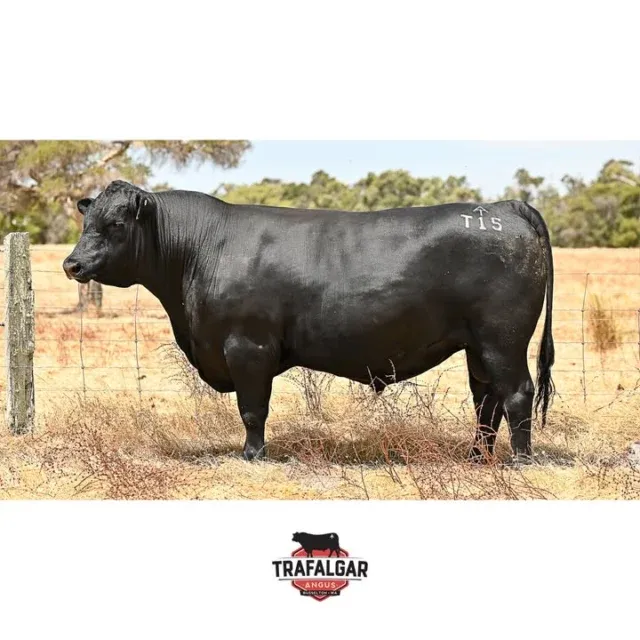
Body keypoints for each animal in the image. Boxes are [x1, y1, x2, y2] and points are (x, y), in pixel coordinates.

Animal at [62, 180, 555, 464]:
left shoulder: (248, 347)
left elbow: (252, 408)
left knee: (515, 393)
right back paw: (475, 458)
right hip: (477, 345)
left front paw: (252, 454)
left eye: (117, 223)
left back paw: (520, 461)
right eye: (87, 220)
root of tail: (504, 207)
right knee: (485, 400)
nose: (72, 264)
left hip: (502, 339)